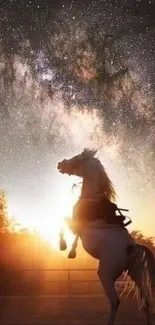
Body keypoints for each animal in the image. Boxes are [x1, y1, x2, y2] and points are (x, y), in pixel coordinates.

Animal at [57, 148, 155, 322]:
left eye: (77, 158)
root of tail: (132, 248)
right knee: (145, 304)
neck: (92, 199)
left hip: (106, 275)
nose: (60, 164)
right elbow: (74, 236)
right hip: (137, 276)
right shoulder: (78, 229)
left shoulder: (75, 224)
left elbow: (61, 221)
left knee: (115, 302)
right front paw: (72, 252)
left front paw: (64, 246)